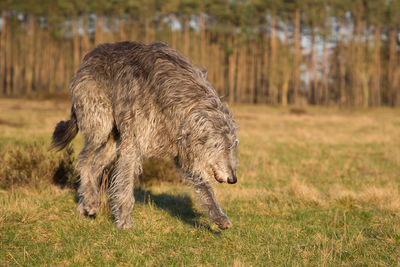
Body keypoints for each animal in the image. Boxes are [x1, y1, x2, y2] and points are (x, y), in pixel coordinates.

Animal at [51, 42, 239, 230]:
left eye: (233, 146)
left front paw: (219, 217)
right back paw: (90, 201)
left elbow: (203, 186)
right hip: (99, 123)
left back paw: (86, 203)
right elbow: (126, 184)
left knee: (96, 165)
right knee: (84, 158)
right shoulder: (134, 142)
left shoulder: (182, 148)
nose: (233, 179)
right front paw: (124, 222)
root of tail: (88, 57)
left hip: (114, 139)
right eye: (220, 146)